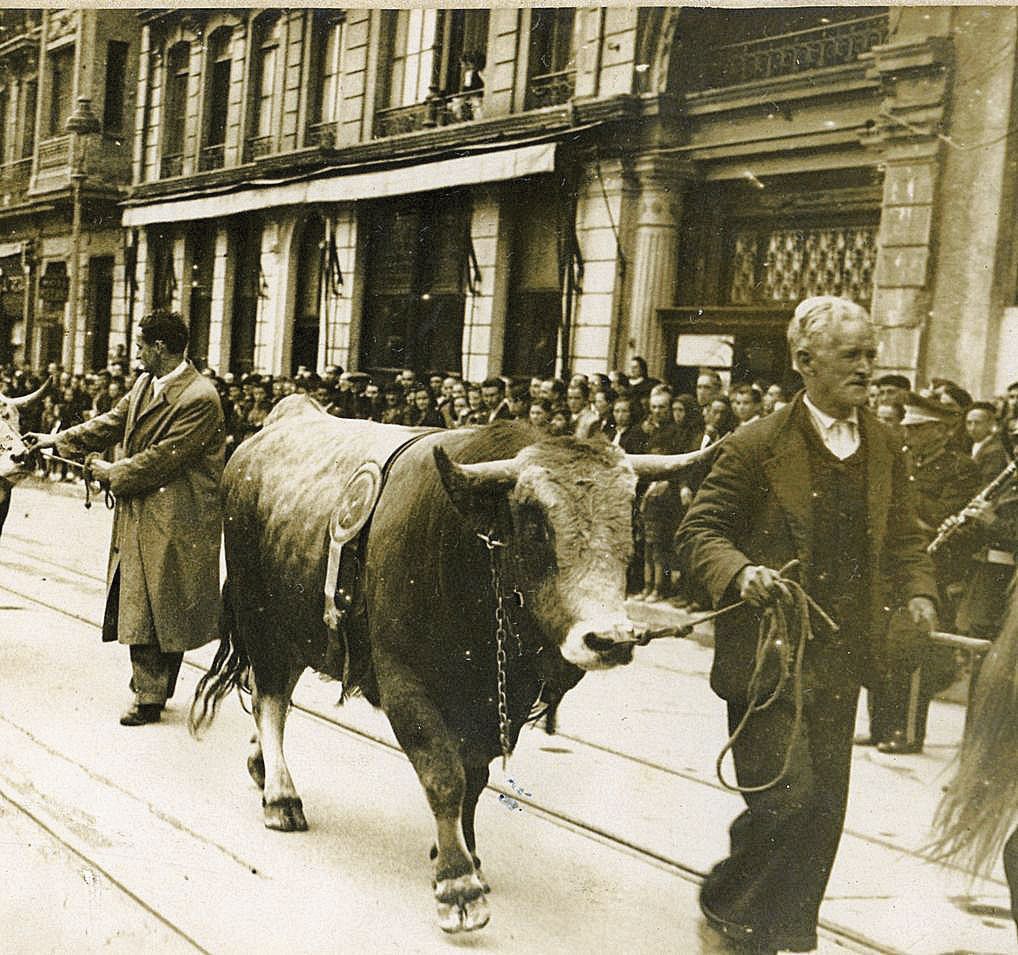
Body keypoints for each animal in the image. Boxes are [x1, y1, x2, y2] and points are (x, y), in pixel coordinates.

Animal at [192, 395, 716, 932]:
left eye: (629, 520)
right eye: (534, 525)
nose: (609, 638)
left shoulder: (498, 701)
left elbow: (475, 779)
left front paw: (469, 854)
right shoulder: (404, 684)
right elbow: (443, 775)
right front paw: (457, 882)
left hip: (298, 627)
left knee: (274, 695)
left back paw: (260, 764)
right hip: (261, 618)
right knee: (271, 699)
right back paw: (282, 797)